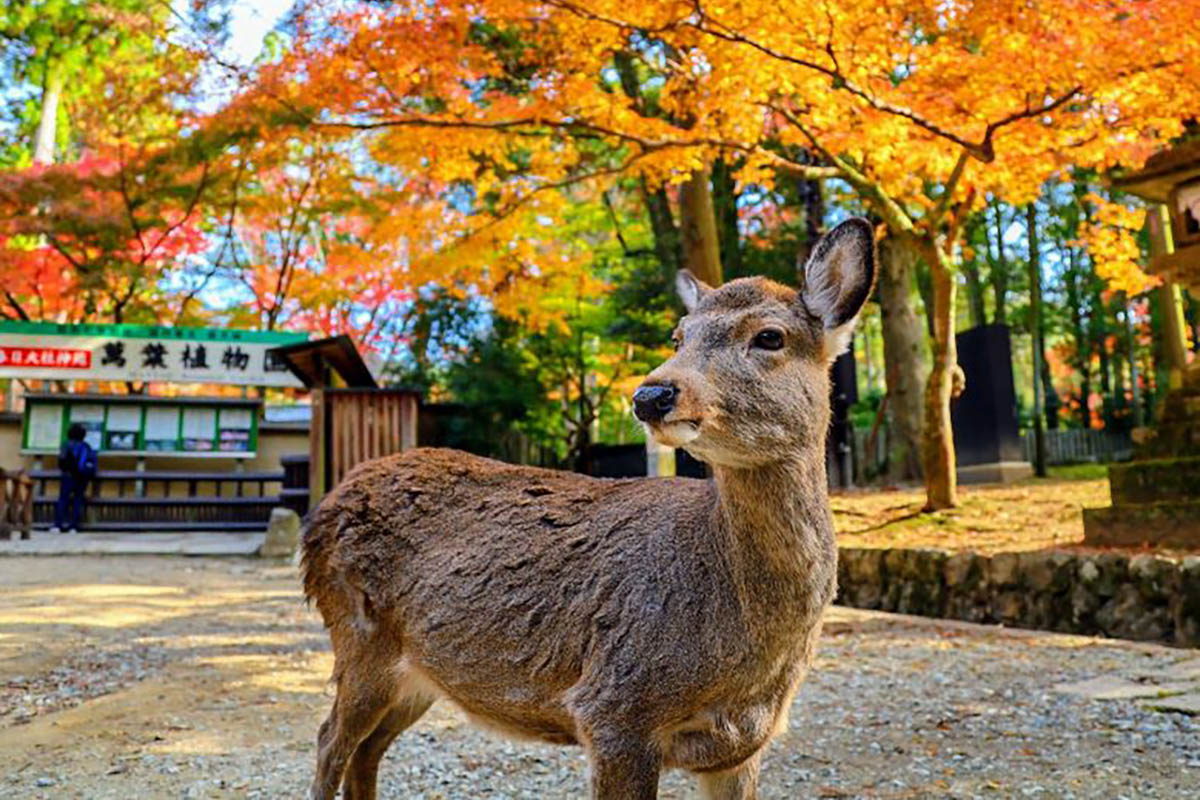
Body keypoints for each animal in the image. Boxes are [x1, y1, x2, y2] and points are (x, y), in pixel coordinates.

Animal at [301, 217, 876, 800]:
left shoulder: (741, 745)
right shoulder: (614, 705)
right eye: (678, 336)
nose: (652, 394)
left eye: (769, 336)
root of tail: (326, 506)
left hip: (419, 673)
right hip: (358, 634)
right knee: (329, 741)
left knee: (366, 750)